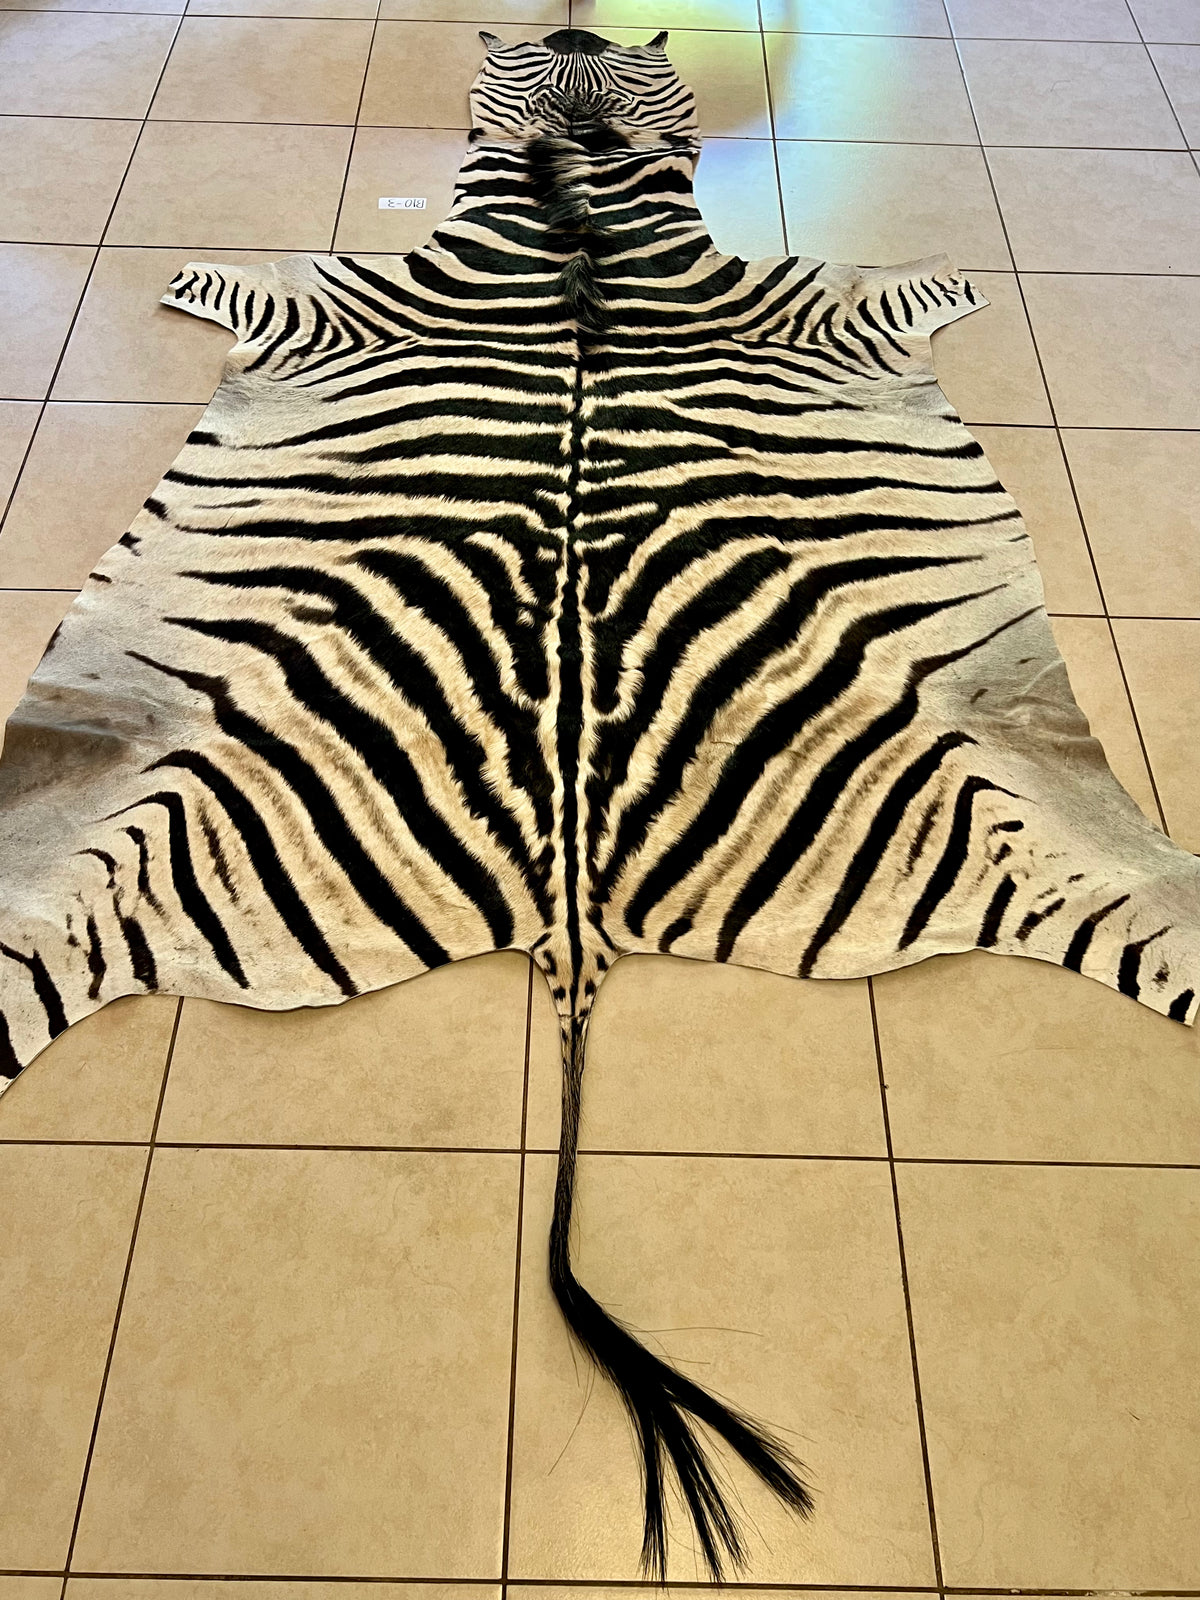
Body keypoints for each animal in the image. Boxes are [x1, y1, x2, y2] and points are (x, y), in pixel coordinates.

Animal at [1, 24, 1198, 1577]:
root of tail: (571, 915)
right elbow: (238, 277)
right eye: (547, 55)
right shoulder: (333, 298)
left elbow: (915, 281)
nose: (577, 28)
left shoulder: (805, 303)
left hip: (1045, 811)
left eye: (617, 62)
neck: (581, 209)